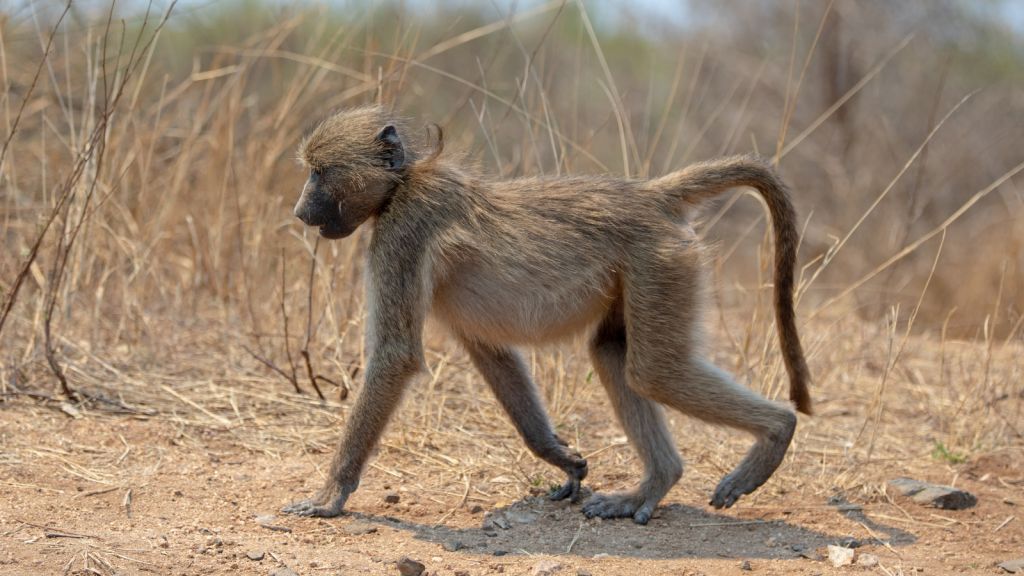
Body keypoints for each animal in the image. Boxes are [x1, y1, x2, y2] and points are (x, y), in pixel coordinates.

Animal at [283, 105, 811, 524]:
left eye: (319, 172)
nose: (299, 213)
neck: (403, 183)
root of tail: (651, 194)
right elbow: (491, 354)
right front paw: (561, 458)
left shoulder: (401, 236)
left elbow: (395, 356)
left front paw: (330, 496)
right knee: (613, 353)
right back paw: (654, 485)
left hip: (661, 261)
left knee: (654, 370)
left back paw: (776, 432)